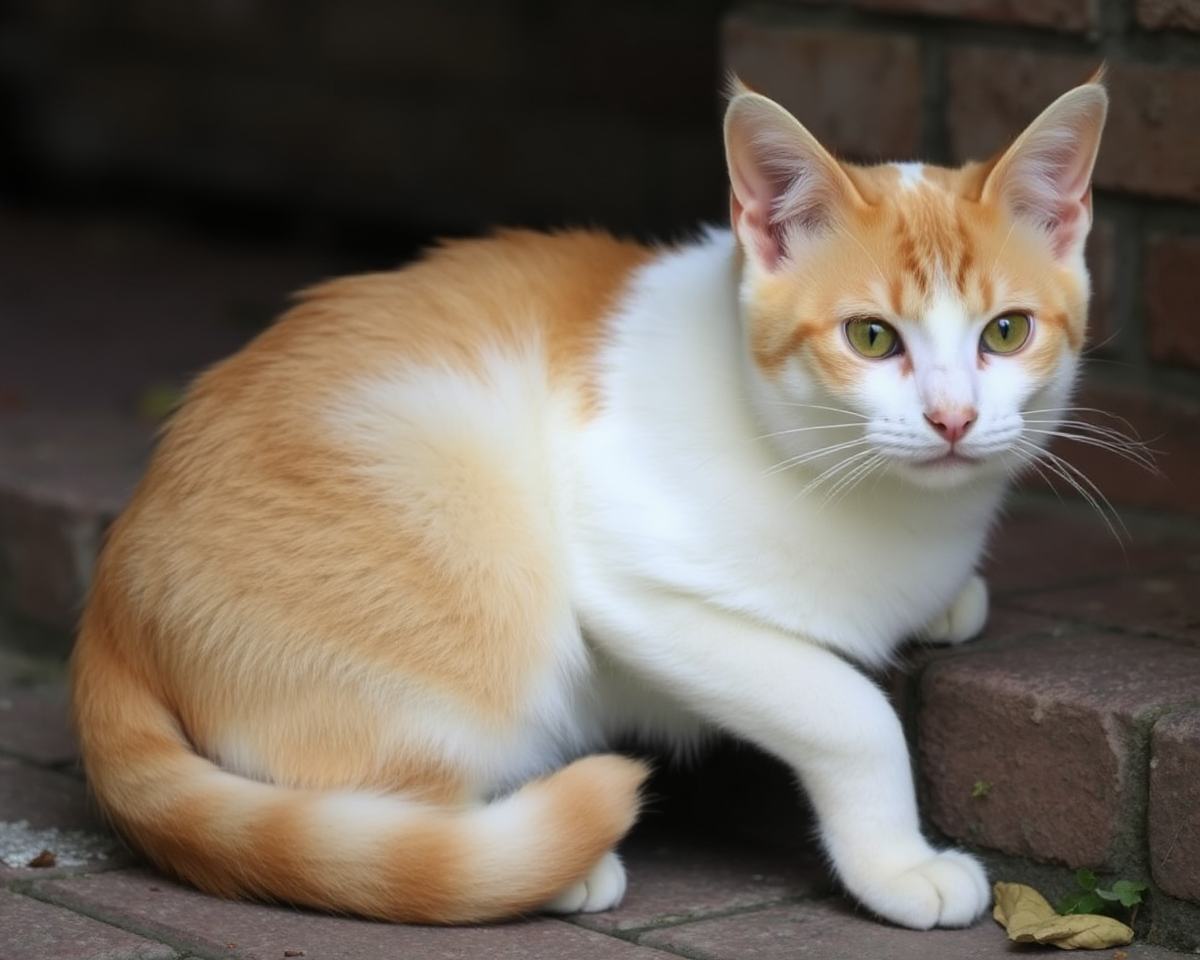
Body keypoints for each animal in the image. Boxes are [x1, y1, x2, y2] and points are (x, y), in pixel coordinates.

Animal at [72, 75, 1104, 931]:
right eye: (873, 337)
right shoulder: (628, 582)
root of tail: (109, 600)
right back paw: (543, 861)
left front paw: (947, 601)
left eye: (1005, 333)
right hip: (478, 542)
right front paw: (899, 864)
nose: (952, 418)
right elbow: (845, 709)